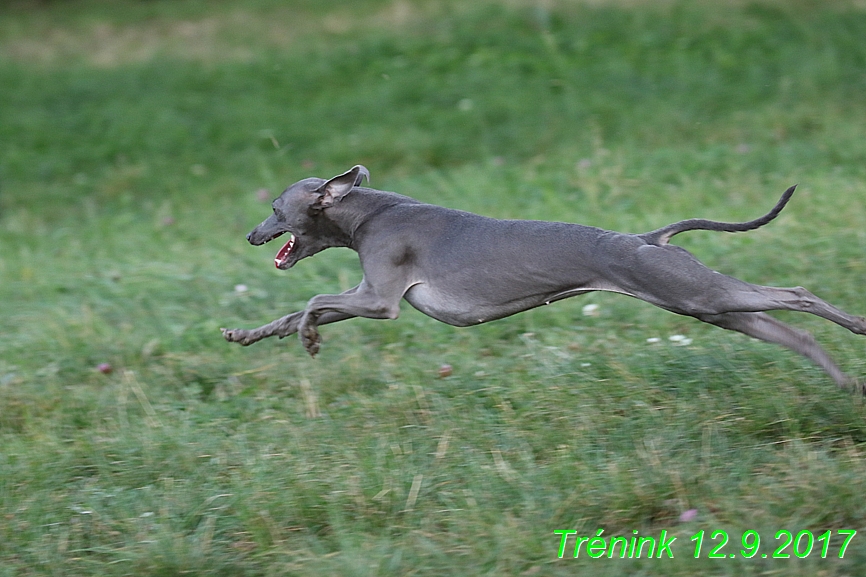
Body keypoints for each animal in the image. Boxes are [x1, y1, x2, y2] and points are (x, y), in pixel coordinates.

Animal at [224, 165, 864, 388]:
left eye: (276, 208)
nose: (251, 234)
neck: (369, 213)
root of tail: (648, 239)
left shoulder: (381, 299)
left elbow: (312, 299)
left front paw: (309, 338)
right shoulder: (366, 295)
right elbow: (293, 309)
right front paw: (247, 335)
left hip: (695, 291)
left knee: (798, 294)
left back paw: (855, 328)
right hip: (707, 306)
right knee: (793, 330)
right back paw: (844, 378)